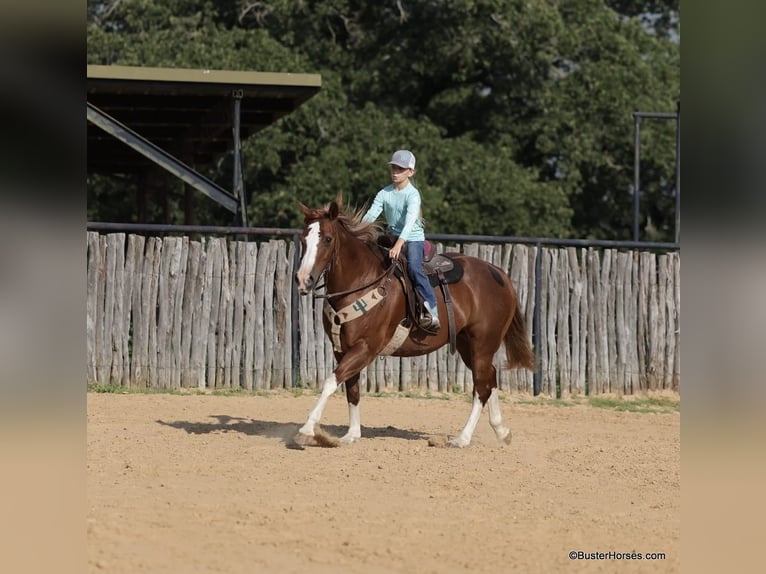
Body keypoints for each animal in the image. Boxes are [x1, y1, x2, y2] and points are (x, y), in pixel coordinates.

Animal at [293, 196, 535, 448]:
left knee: (481, 386)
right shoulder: (341, 349)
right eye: (303, 239)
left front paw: (307, 429)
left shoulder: (365, 348)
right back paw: (501, 431)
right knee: (491, 376)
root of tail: (499, 274)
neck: (363, 280)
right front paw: (351, 434)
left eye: (327, 239)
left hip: (483, 344)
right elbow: (352, 388)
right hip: (466, 344)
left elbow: (331, 381)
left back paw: (462, 438)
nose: (303, 279)